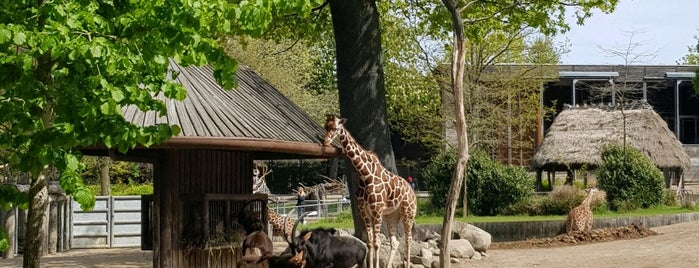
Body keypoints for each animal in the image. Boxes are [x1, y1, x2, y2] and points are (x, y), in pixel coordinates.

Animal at [322, 114, 416, 268]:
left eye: (335, 128)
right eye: (326, 126)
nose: (325, 142)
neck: (364, 173)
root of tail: (413, 192)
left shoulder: (377, 210)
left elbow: (377, 243)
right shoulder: (365, 211)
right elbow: (370, 242)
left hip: (408, 212)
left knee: (408, 240)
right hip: (391, 215)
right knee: (395, 241)